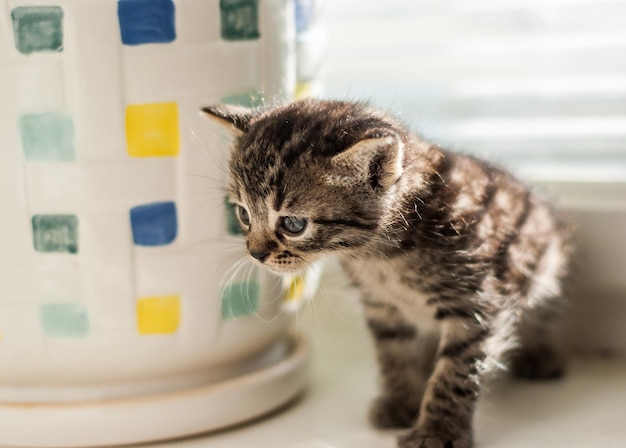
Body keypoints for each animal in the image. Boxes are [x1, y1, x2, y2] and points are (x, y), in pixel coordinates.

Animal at [202, 99, 572, 448]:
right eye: (243, 214)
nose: (256, 253)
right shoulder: (383, 307)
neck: (382, 257)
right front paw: (401, 402)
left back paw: (540, 353)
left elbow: (456, 372)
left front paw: (438, 429)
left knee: (544, 307)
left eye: (293, 224)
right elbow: (394, 355)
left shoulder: (476, 303)